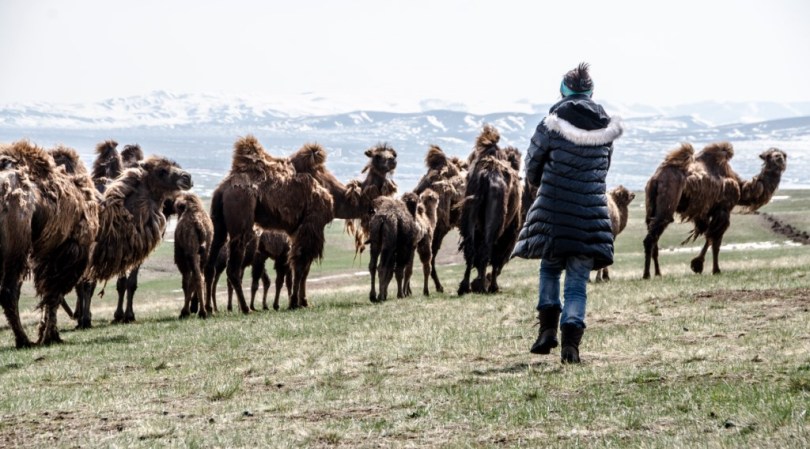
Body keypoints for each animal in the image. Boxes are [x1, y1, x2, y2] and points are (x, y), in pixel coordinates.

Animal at [0, 141, 98, 348]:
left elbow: (47, 293)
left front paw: (46, 333)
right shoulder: (68, 253)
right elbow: (53, 293)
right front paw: (50, 336)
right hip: (16, 246)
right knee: (9, 291)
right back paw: (23, 340)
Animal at [204, 135, 333, 313]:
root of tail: (221, 190)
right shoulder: (303, 235)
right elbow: (296, 269)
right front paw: (293, 302)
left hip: (218, 222)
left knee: (212, 262)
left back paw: (208, 309)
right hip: (241, 216)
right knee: (234, 270)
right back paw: (245, 308)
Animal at [458, 125, 523, 295]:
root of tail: (487, 175)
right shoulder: (509, 233)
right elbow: (497, 258)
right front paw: (494, 286)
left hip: (470, 210)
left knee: (471, 248)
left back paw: (464, 287)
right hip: (497, 223)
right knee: (487, 250)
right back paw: (483, 286)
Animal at [643, 142, 786, 278]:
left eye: (784, 154)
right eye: (768, 156)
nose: (778, 158)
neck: (740, 187)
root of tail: (657, 179)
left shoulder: (704, 214)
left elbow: (709, 236)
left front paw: (698, 265)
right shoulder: (723, 209)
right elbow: (715, 241)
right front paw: (711, 268)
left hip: (651, 207)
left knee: (654, 236)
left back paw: (658, 273)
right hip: (668, 202)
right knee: (651, 238)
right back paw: (646, 274)